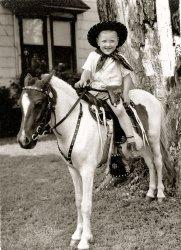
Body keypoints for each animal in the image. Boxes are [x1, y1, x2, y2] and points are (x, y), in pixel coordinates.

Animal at [17, 72, 170, 250]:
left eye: (39, 103)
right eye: (21, 104)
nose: (24, 140)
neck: (74, 124)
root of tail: (151, 97)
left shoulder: (87, 170)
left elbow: (86, 205)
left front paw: (85, 239)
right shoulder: (73, 170)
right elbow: (78, 201)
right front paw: (77, 235)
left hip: (153, 139)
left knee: (158, 163)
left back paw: (160, 194)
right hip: (142, 146)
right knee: (150, 164)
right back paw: (150, 193)